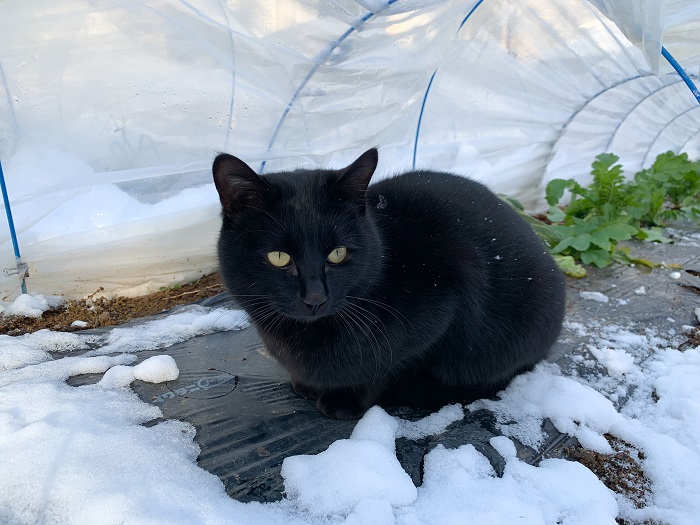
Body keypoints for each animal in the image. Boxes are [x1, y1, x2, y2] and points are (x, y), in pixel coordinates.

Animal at [215, 147, 568, 418]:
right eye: (279, 257)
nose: (315, 297)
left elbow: (387, 365)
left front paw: (346, 399)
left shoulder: (443, 305)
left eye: (338, 253)